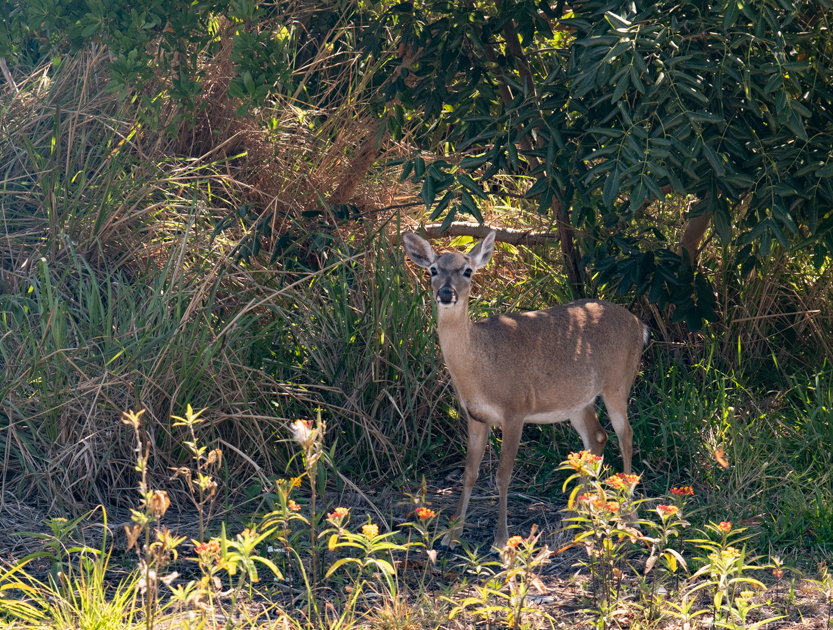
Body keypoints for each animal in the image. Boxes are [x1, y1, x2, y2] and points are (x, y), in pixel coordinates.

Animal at [402, 229, 648, 549]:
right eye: (433, 270)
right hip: (578, 400)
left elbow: (503, 475)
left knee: (625, 435)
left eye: (467, 270)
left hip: (618, 382)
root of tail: (640, 325)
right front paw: (452, 536)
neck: (479, 369)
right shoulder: (475, 415)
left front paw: (501, 539)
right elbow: (469, 473)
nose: (445, 293)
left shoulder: (515, 409)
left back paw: (629, 519)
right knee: (597, 437)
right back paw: (572, 518)